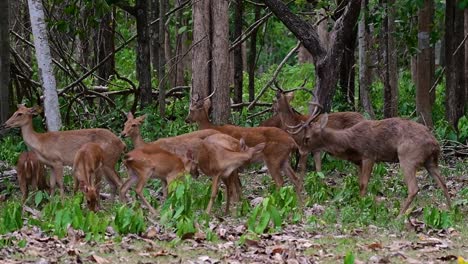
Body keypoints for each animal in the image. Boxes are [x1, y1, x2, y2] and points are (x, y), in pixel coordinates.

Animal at [290, 105, 452, 214]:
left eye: (307, 138)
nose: (300, 151)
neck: (350, 142)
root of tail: (435, 144)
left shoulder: (369, 155)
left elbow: (363, 184)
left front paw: (361, 205)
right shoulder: (359, 161)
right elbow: (359, 183)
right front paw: (360, 202)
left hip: (408, 156)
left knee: (414, 188)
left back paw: (399, 215)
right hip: (430, 161)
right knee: (443, 183)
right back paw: (450, 210)